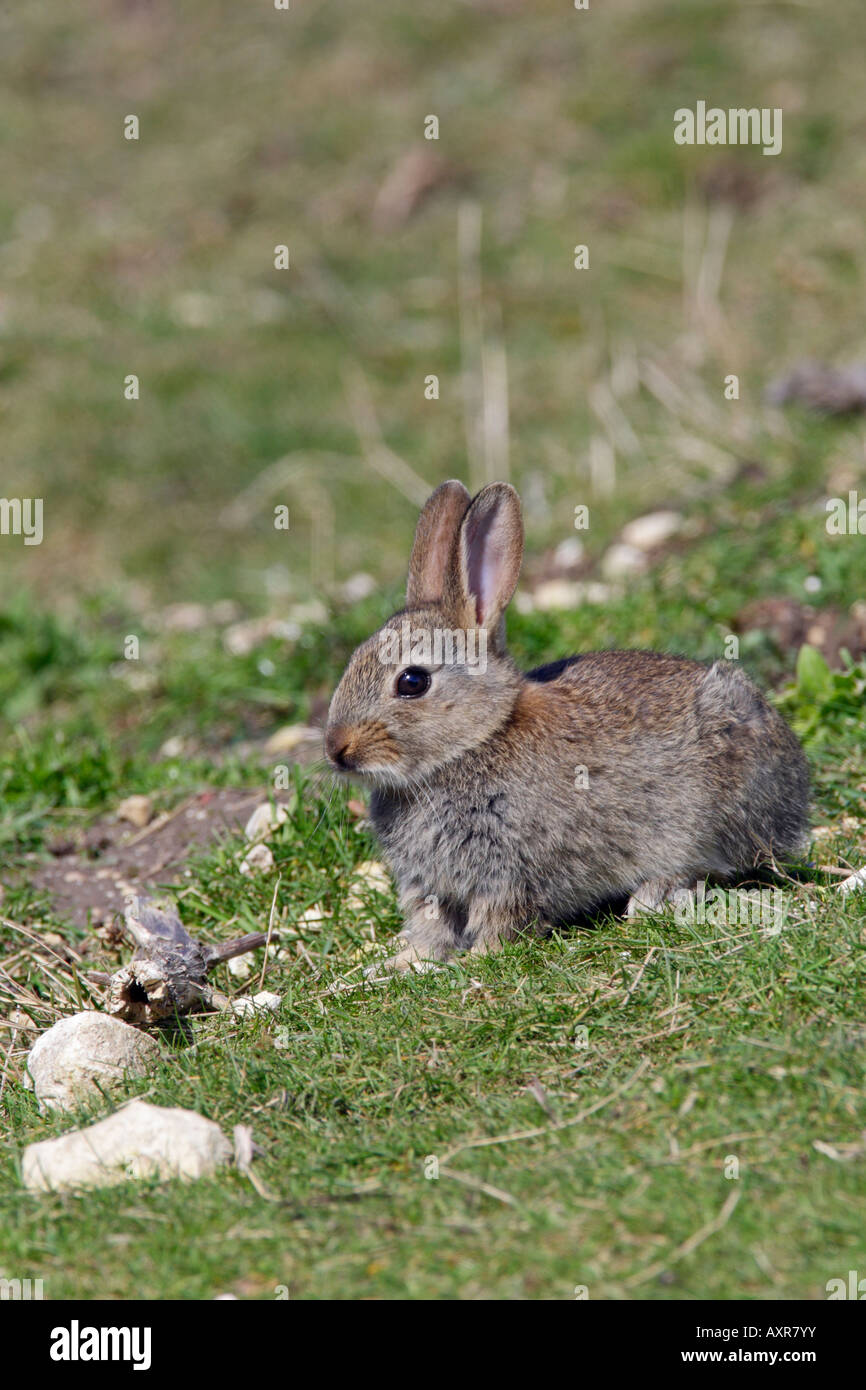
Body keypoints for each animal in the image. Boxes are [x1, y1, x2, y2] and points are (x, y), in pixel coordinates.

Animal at [322, 483, 811, 973]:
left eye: (412, 681)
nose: (337, 749)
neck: (475, 742)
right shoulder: (429, 886)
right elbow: (431, 928)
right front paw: (396, 964)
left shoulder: (509, 871)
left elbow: (502, 921)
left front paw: (475, 960)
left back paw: (651, 896)